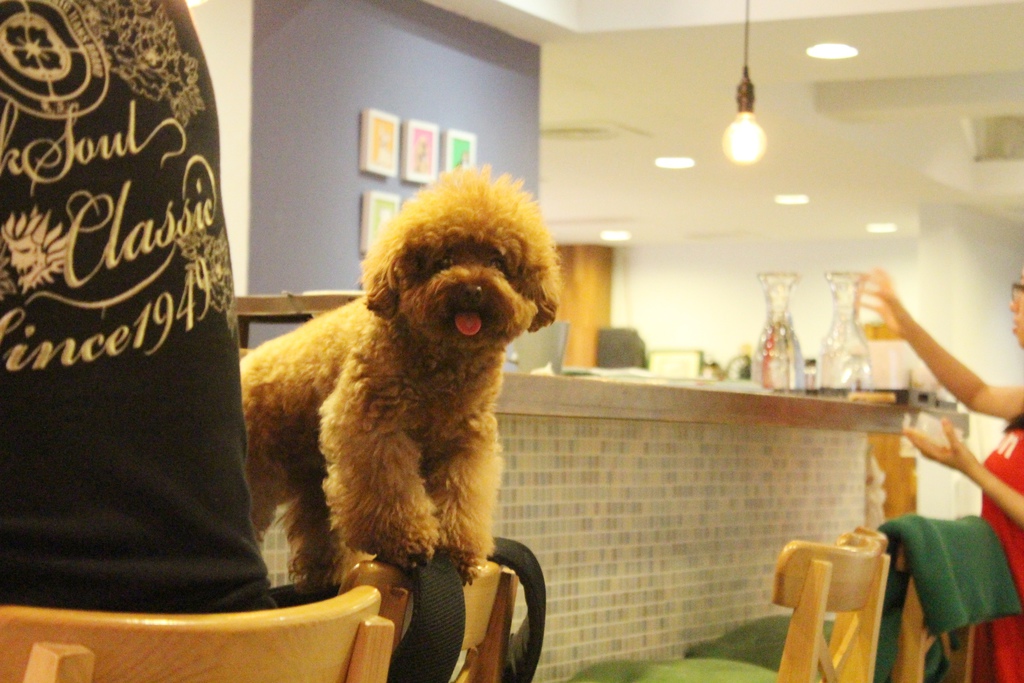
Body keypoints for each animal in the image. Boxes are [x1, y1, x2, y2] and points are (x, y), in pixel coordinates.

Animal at [239, 167, 561, 589]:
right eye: (445, 258)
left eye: (497, 260)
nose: (473, 289)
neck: (441, 366)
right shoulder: (371, 425)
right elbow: (389, 490)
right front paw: (407, 541)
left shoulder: (465, 441)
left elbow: (462, 496)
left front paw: (458, 549)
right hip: (259, 472)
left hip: (309, 474)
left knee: (318, 531)